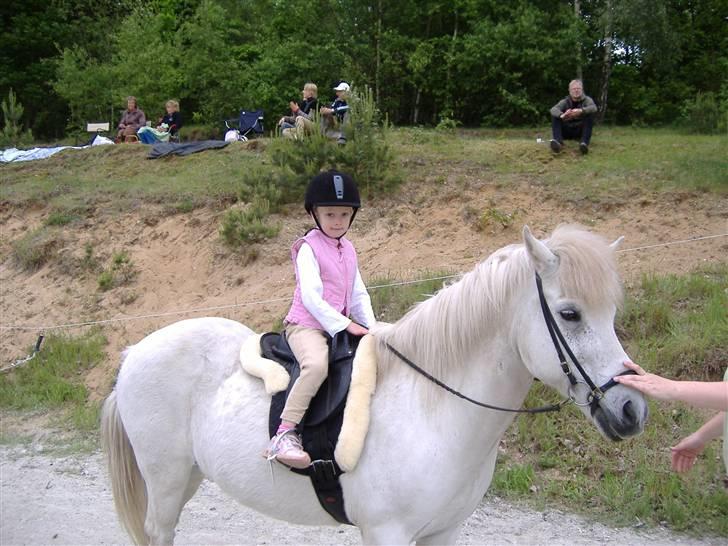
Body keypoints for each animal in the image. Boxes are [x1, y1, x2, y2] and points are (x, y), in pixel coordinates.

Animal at [101, 223, 648, 540]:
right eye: (570, 313)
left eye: (612, 313)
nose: (632, 409)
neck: (433, 410)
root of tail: (133, 353)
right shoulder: (388, 532)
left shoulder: (444, 533)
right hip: (165, 480)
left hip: (188, 476)